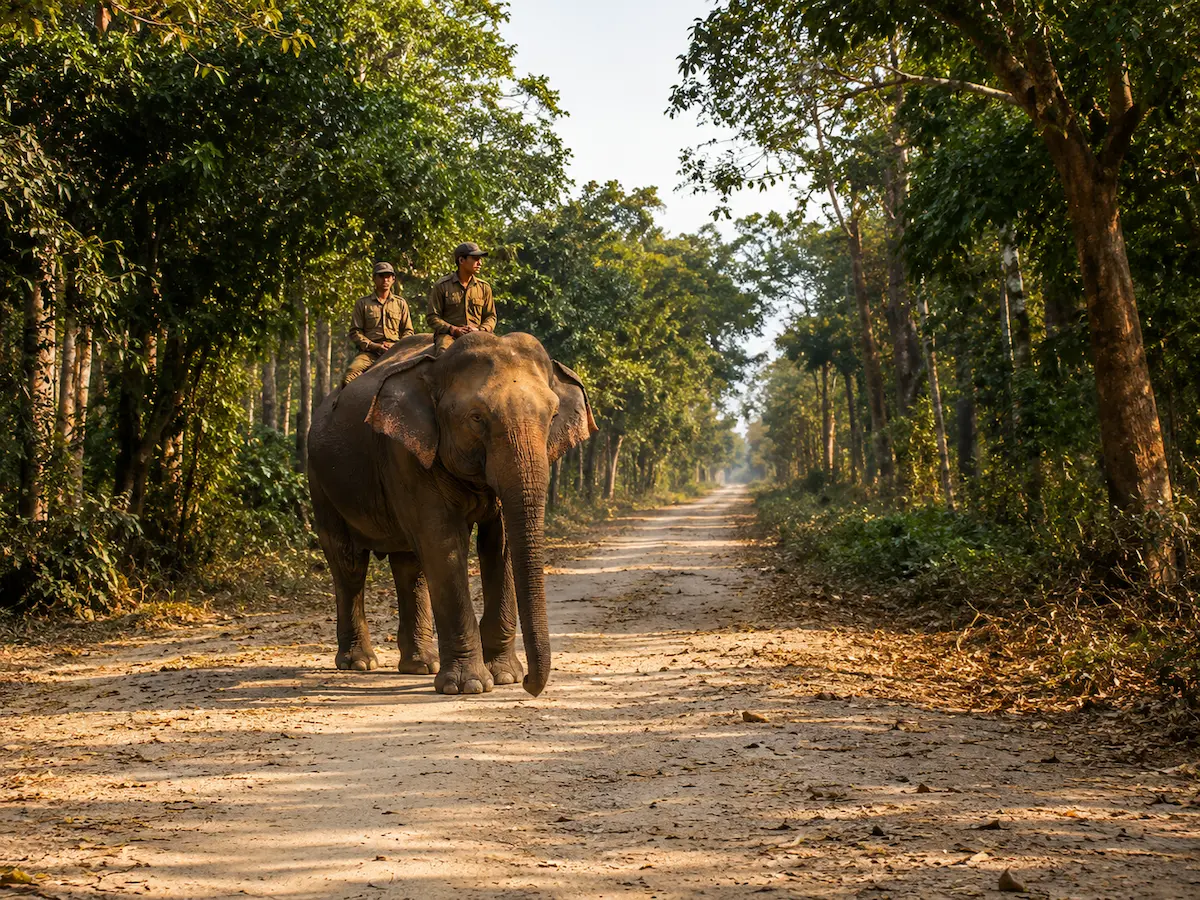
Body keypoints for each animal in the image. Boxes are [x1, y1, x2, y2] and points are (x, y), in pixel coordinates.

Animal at [306, 331, 596, 696]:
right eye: (477, 418)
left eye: (553, 415)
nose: (531, 685)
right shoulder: (406, 453)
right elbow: (442, 544)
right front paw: (469, 685)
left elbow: (500, 545)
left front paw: (504, 676)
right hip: (320, 480)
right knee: (349, 563)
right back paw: (359, 663)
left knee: (409, 566)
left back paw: (420, 665)